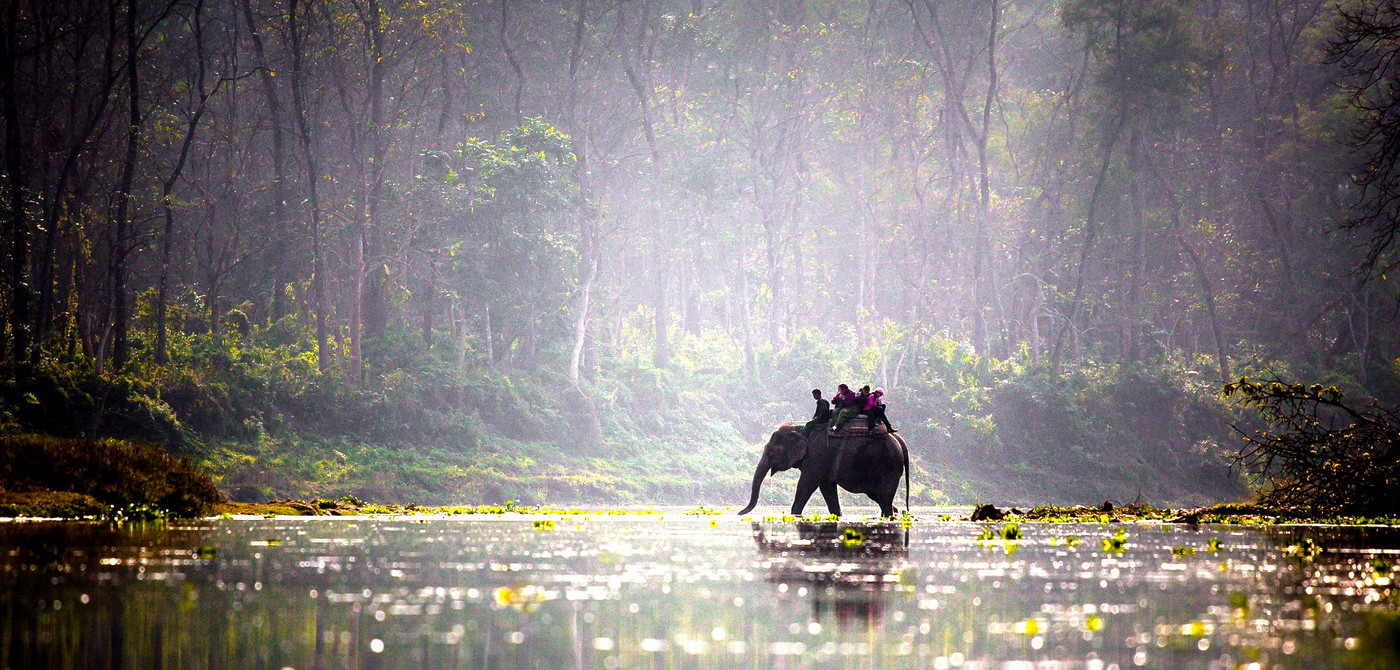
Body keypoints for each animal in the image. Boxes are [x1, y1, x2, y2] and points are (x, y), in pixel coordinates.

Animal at [733, 425, 907, 520]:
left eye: (771, 451)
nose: (739, 513)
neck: (801, 429)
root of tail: (899, 440)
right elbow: (827, 487)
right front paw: (837, 515)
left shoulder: (817, 456)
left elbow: (806, 484)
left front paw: (794, 514)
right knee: (878, 496)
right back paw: (894, 512)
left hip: (889, 466)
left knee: (884, 495)